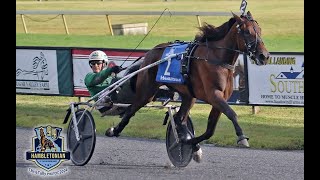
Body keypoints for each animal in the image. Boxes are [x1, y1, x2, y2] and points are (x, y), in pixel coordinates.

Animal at [105, 11, 270, 162]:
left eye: (260, 30)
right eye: (247, 32)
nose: (264, 56)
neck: (216, 58)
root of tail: (149, 54)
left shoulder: (219, 99)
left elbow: (210, 129)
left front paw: (189, 143)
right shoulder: (214, 95)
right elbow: (232, 114)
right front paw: (241, 137)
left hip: (188, 95)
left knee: (179, 118)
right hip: (147, 92)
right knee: (131, 110)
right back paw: (114, 130)